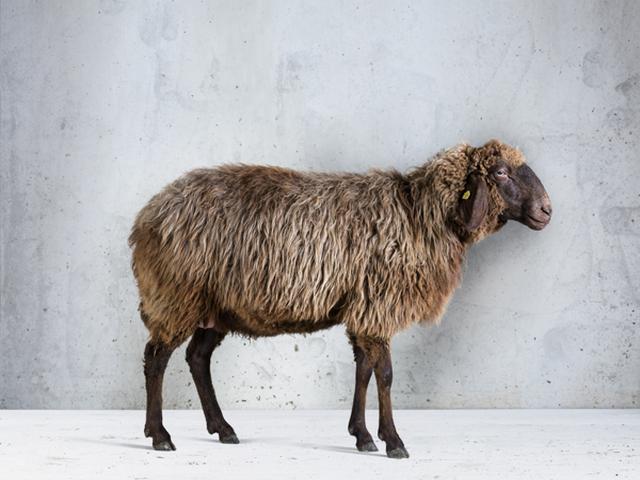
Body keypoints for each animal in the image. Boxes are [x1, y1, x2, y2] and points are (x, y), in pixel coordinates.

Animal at [129, 139, 552, 458]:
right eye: (500, 172)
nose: (546, 210)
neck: (420, 215)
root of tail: (147, 215)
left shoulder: (363, 310)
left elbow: (363, 370)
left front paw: (362, 435)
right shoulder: (377, 306)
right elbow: (385, 374)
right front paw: (393, 441)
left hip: (213, 307)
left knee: (197, 358)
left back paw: (223, 428)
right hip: (176, 295)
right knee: (156, 359)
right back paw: (160, 435)